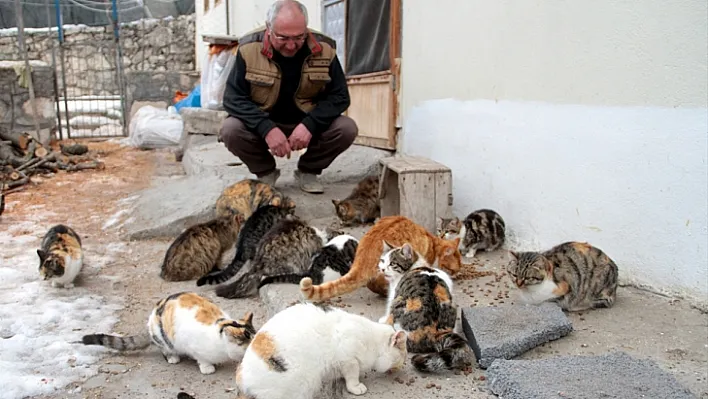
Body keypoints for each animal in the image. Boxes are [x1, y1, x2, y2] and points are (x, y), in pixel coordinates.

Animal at [80, 292, 258, 376]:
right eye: (247, 345)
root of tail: (149, 323)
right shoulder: (192, 344)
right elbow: (201, 358)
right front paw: (207, 368)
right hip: (163, 337)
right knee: (164, 349)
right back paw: (173, 358)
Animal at [235, 304, 406, 399]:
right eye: (403, 355)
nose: (403, 364)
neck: (373, 341)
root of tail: (241, 380)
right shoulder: (348, 358)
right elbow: (352, 375)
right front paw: (356, 386)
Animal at [376, 241, 476, 376]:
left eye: (392, 263)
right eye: (382, 260)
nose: (382, 269)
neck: (417, 266)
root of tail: (435, 334)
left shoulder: (394, 295)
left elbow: (388, 312)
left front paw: (383, 319)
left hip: (400, 301)